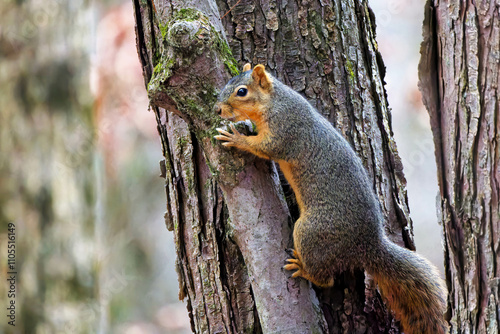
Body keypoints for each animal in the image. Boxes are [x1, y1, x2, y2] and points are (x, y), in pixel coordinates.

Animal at [213, 64, 448, 332]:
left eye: (242, 91)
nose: (217, 109)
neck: (274, 101)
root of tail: (368, 245)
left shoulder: (286, 129)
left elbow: (267, 148)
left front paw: (236, 139)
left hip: (312, 233)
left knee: (326, 279)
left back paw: (303, 269)